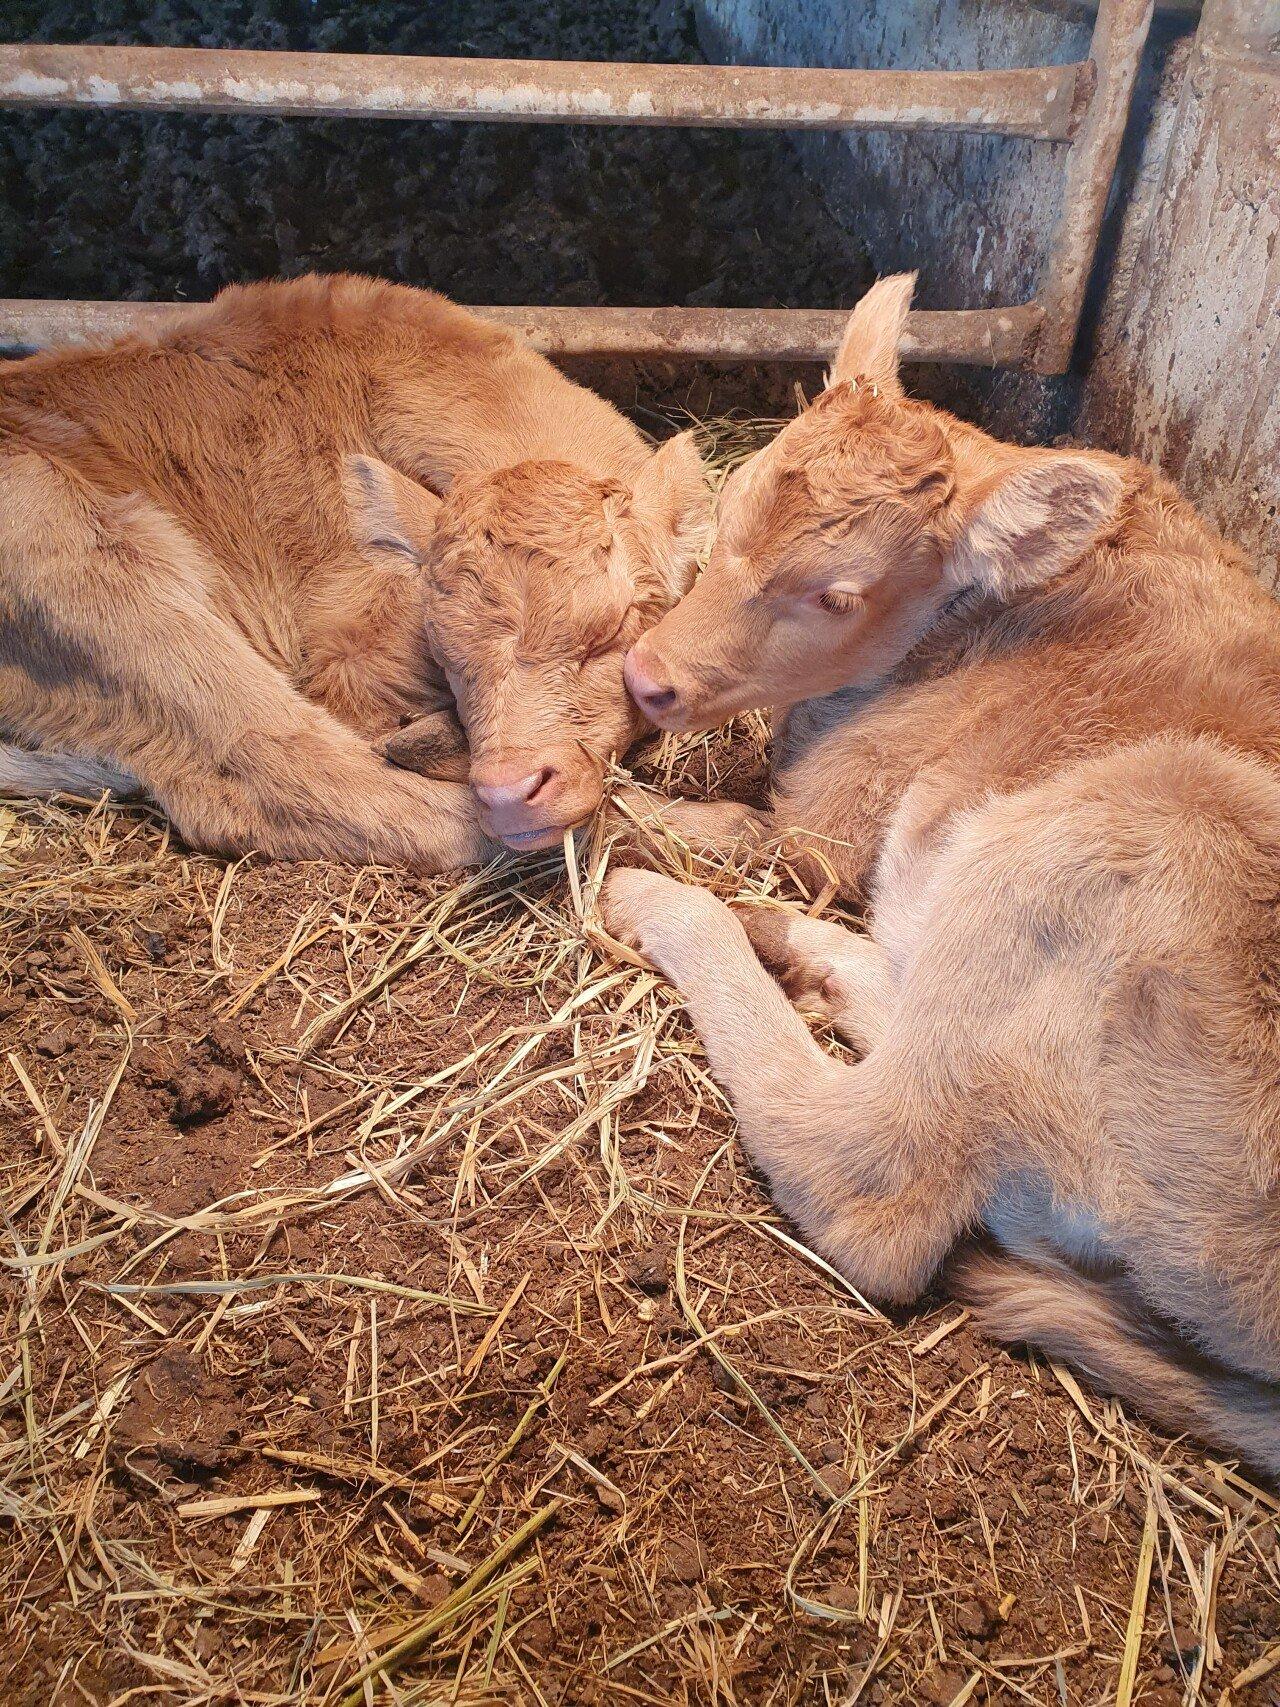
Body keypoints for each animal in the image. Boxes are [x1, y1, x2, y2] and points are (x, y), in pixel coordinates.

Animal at [0, 279, 713, 873]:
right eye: (444, 652)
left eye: (615, 629)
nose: (507, 792)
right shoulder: (344, 651)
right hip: (98, 569)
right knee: (286, 771)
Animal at [607, 273, 1280, 1474]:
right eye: (733, 508)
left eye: (836, 594)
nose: (648, 678)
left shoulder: (830, 819)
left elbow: (714, 826)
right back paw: (802, 954)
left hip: (1103, 839)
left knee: (871, 1174)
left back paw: (677, 914)